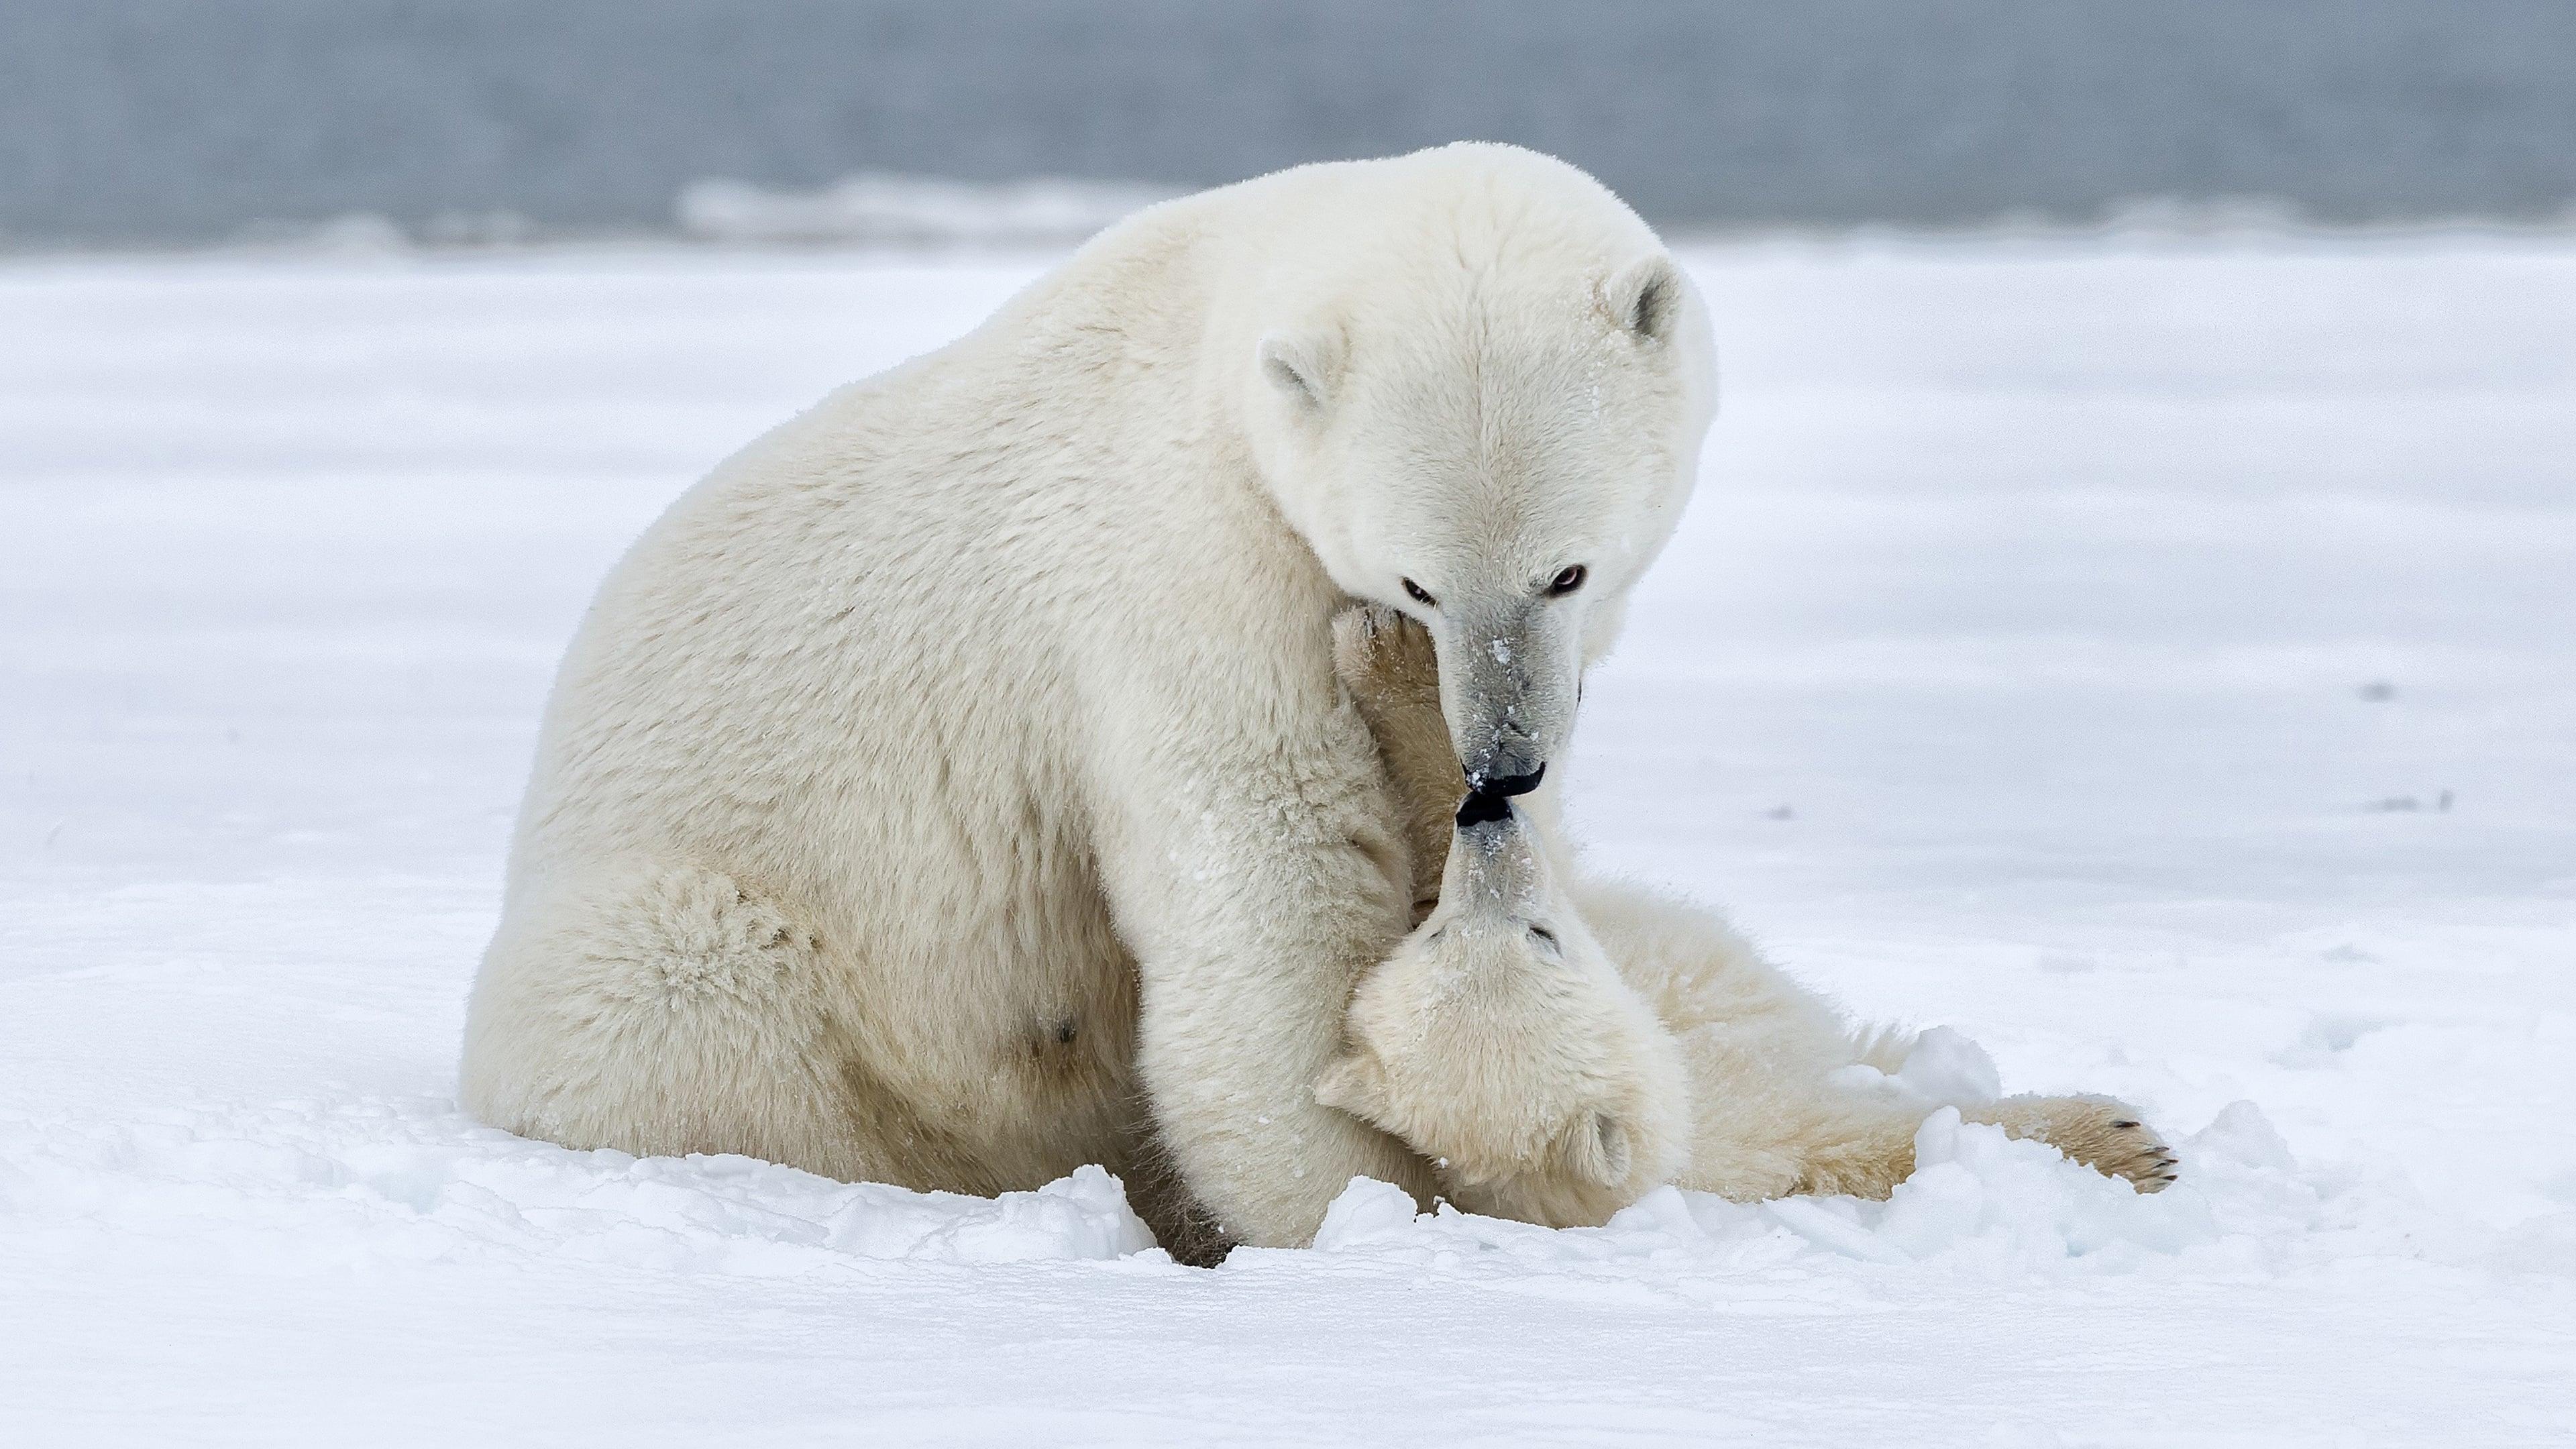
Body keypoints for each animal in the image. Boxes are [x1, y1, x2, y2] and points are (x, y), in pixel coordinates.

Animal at [464, 149, 1710, 1252]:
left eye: (1568, 572)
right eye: (1419, 582)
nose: (1501, 764)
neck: (1212, 340)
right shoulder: (1189, 578)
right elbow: (1269, 902)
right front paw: (1366, 1210)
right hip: (710, 947)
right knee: (679, 997)